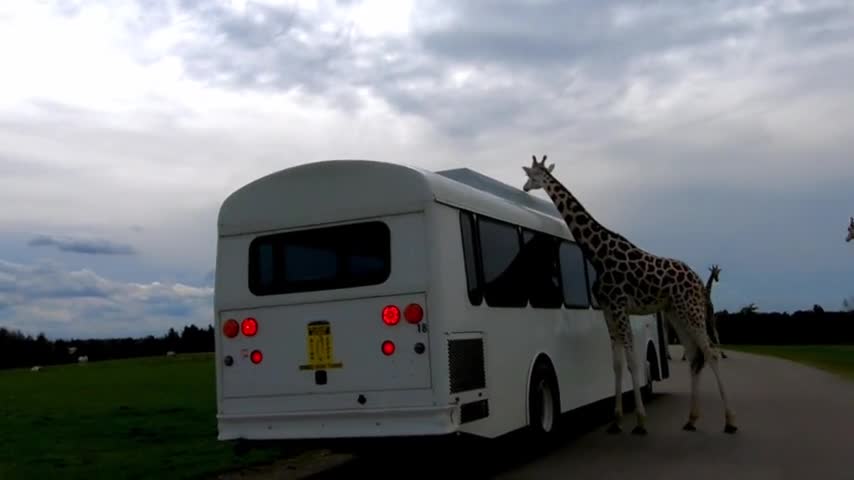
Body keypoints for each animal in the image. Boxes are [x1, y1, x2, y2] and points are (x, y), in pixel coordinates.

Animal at [524, 155, 740, 436]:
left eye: (532, 175)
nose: (525, 187)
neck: (598, 253)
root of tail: (697, 281)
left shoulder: (619, 306)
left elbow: (633, 362)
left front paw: (640, 421)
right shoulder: (608, 310)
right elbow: (617, 364)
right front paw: (616, 421)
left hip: (691, 309)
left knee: (711, 353)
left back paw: (730, 421)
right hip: (675, 312)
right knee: (694, 356)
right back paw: (691, 420)